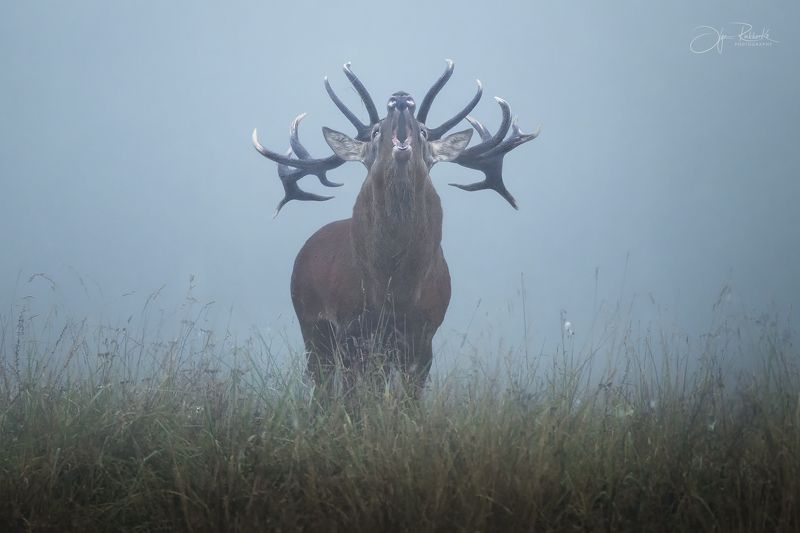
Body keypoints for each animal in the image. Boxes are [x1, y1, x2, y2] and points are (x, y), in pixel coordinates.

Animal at [252, 60, 539, 396]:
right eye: (376, 130)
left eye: (424, 131)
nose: (401, 98)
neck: (394, 291)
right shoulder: (351, 329)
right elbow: (355, 396)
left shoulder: (424, 333)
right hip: (310, 323)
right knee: (322, 386)